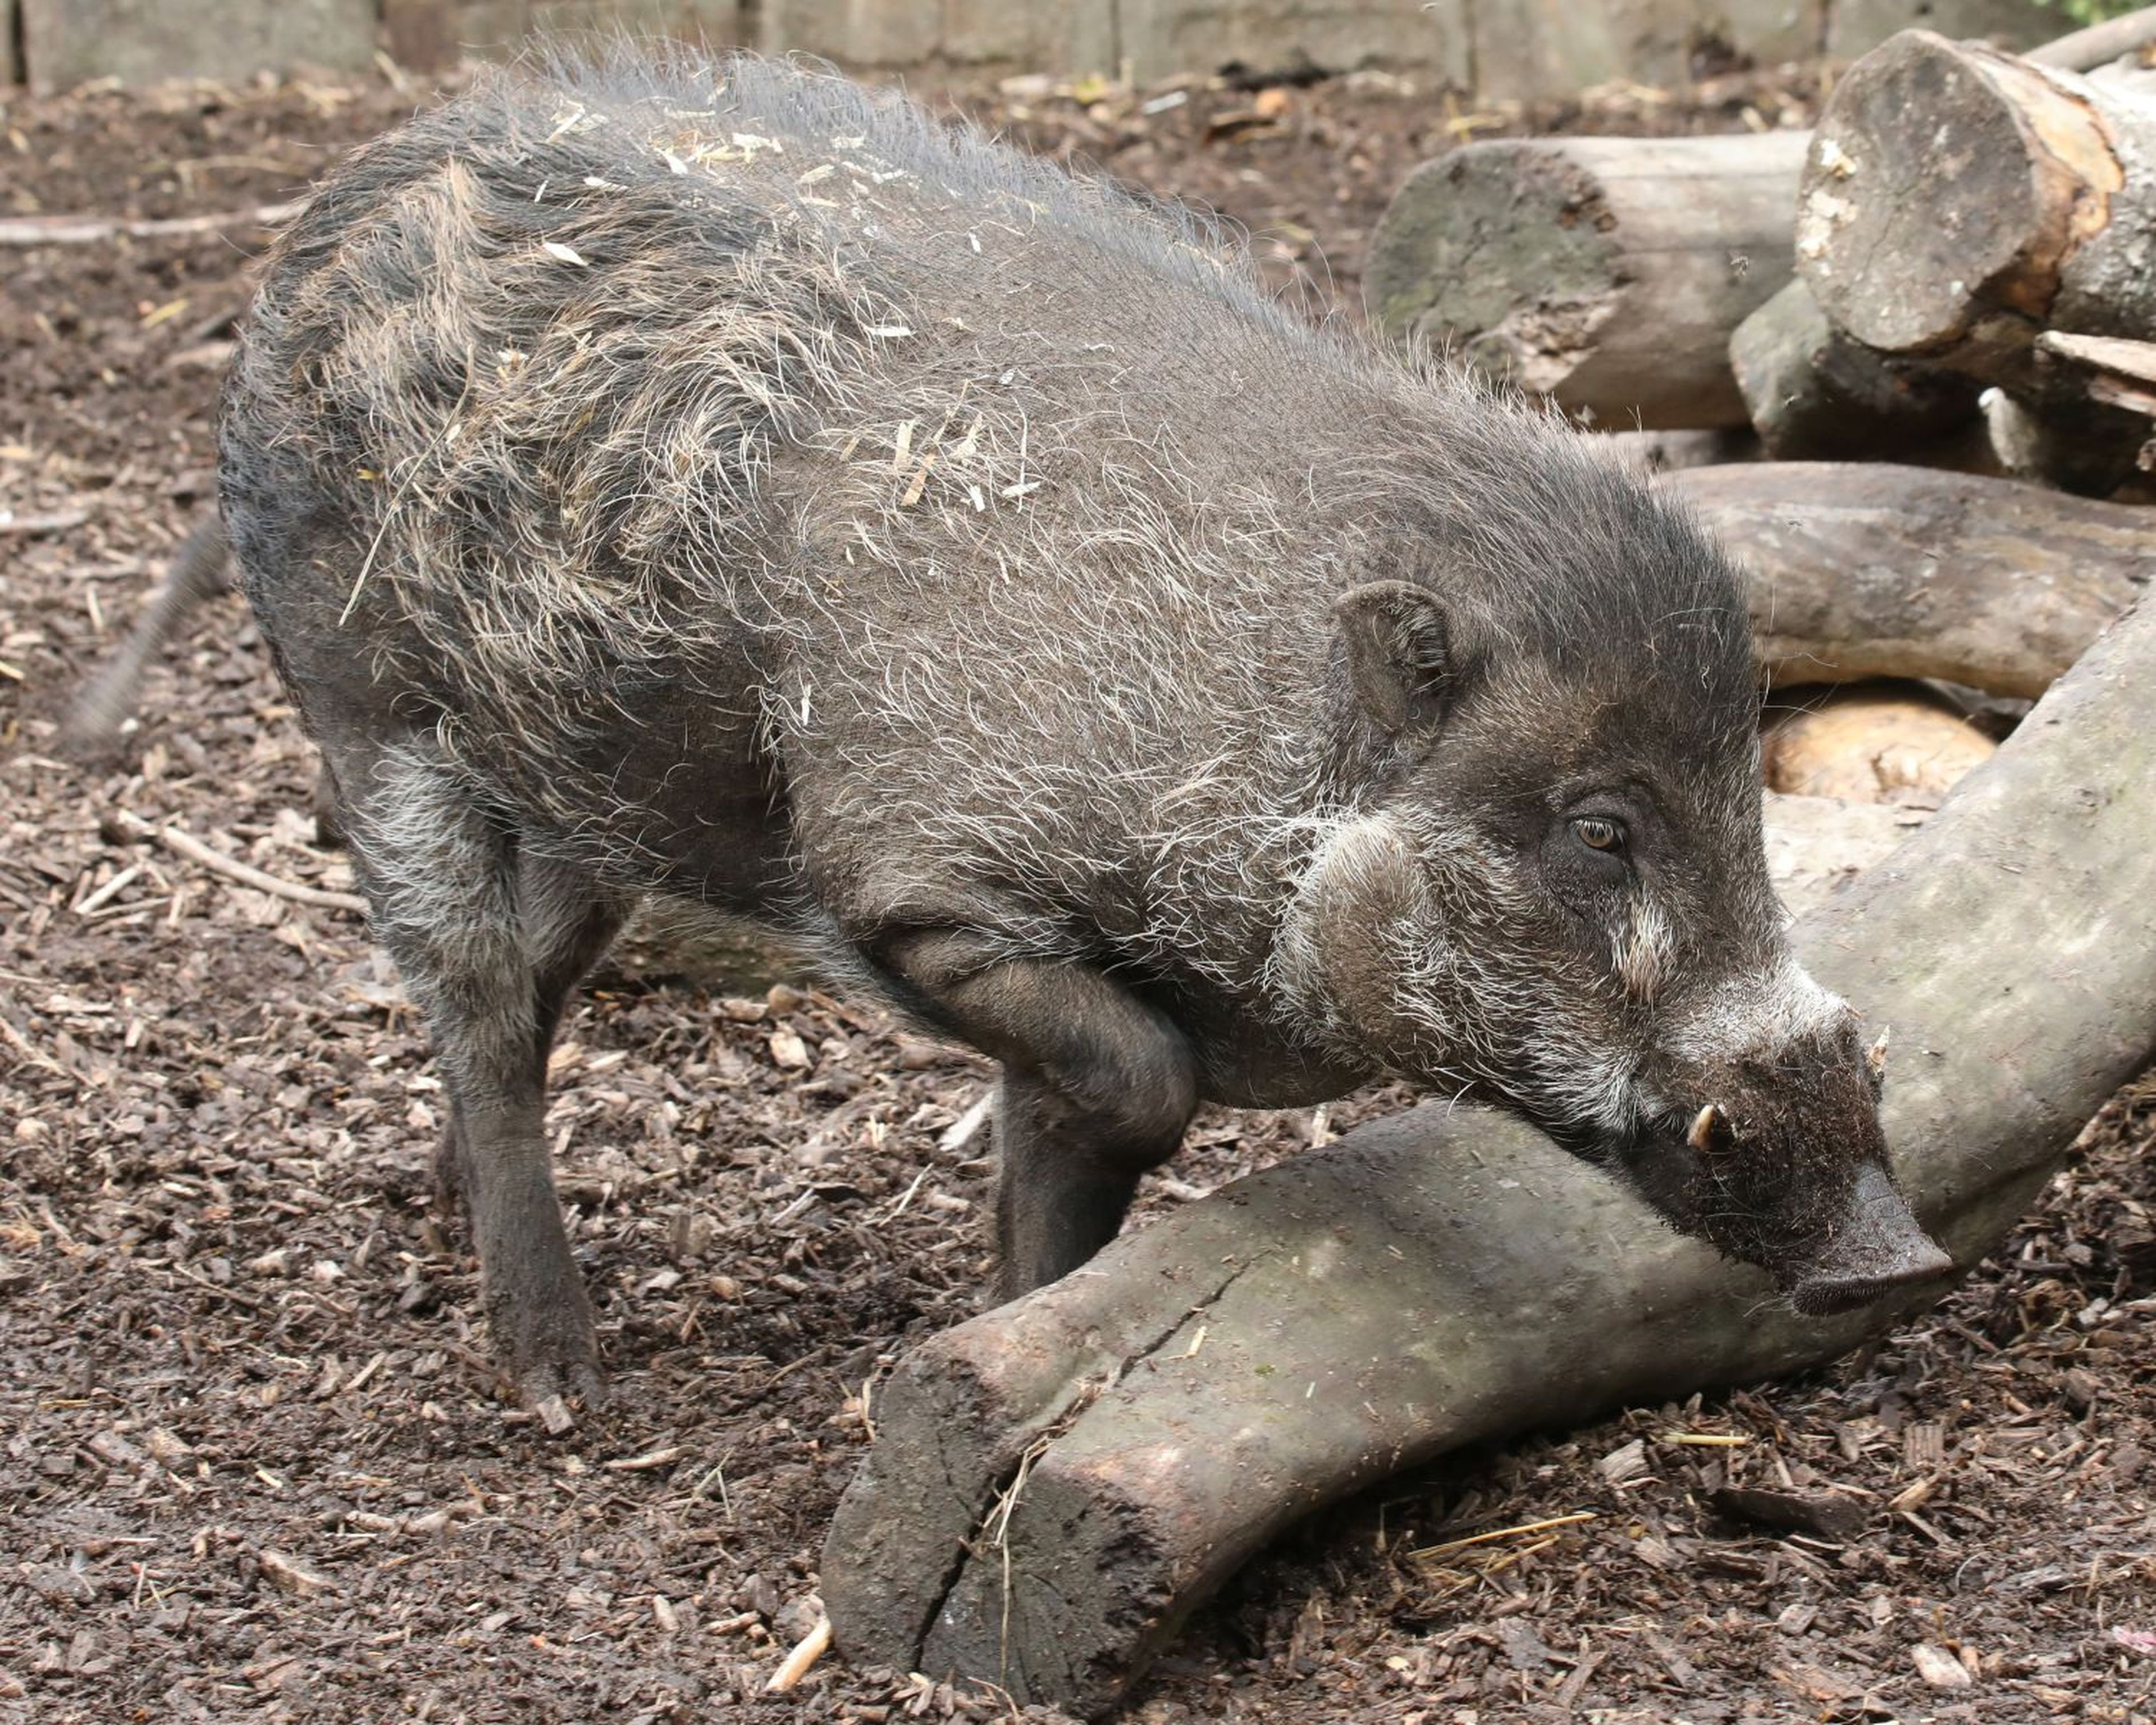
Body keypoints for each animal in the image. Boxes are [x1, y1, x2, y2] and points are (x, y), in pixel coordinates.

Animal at [219, 50, 1950, 1417]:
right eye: (1599, 826)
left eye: (1748, 797)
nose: (1903, 1259)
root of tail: (337, 199)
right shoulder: (917, 887)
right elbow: (1140, 1085)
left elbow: (1067, 1177)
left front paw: (996, 1351)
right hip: (366, 709)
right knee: (476, 990)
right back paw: (557, 1384)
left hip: (585, 790)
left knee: (536, 979)